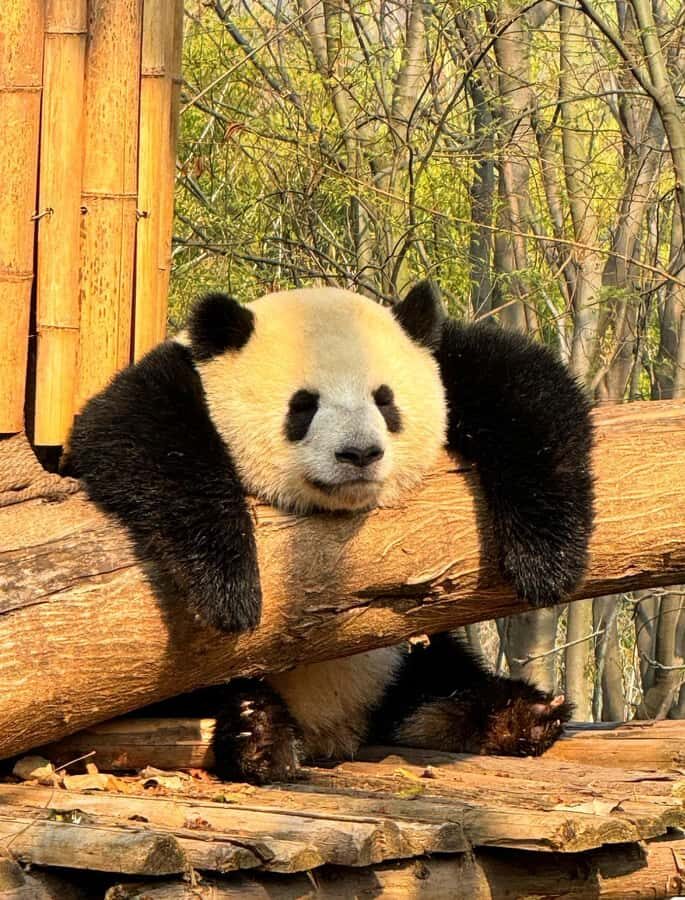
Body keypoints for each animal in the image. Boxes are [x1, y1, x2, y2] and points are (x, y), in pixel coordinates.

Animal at [64, 281, 593, 784]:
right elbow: (132, 436)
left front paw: (547, 564)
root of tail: (335, 726)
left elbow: (521, 384)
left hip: (398, 659)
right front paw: (228, 590)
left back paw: (519, 714)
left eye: (385, 400)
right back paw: (259, 734)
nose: (359, 453)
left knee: (435, 679)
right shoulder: (168, 386)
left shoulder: (452, 363)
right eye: (303, 406)